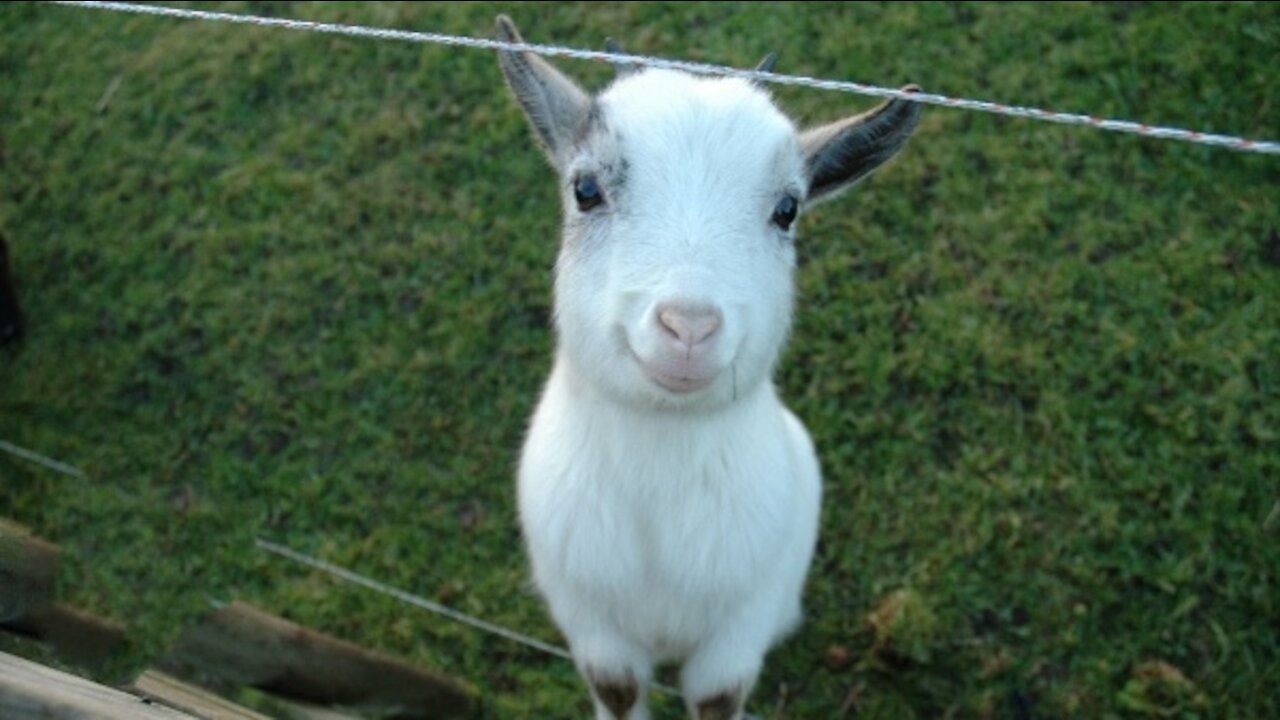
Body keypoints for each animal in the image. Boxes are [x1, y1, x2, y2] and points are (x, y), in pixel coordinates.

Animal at [494, 16, 926, 717]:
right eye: (585, 189)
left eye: (788, 208)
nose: (689, 327)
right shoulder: (593, 627)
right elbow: (619, 690)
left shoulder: (737, 630)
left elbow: (718, 695)